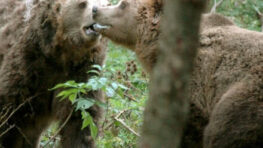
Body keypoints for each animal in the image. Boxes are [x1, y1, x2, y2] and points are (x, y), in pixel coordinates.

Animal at [0, 0, 108, 147]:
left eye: (104, 4)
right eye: (83, 3)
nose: (96, 12)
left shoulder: (82, 73)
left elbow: (80, 117)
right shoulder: (27, 63)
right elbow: (10, 113)